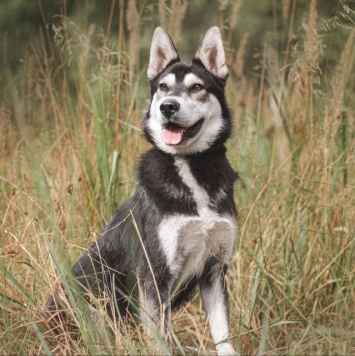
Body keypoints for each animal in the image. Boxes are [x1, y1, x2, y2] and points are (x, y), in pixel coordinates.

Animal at [47, 27, 238, 354]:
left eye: (197, 87)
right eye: (163, 87)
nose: (167, 106)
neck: (189, 167)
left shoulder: (214, 270)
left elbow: (223, 337)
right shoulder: (155, 275)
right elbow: (161, 342)